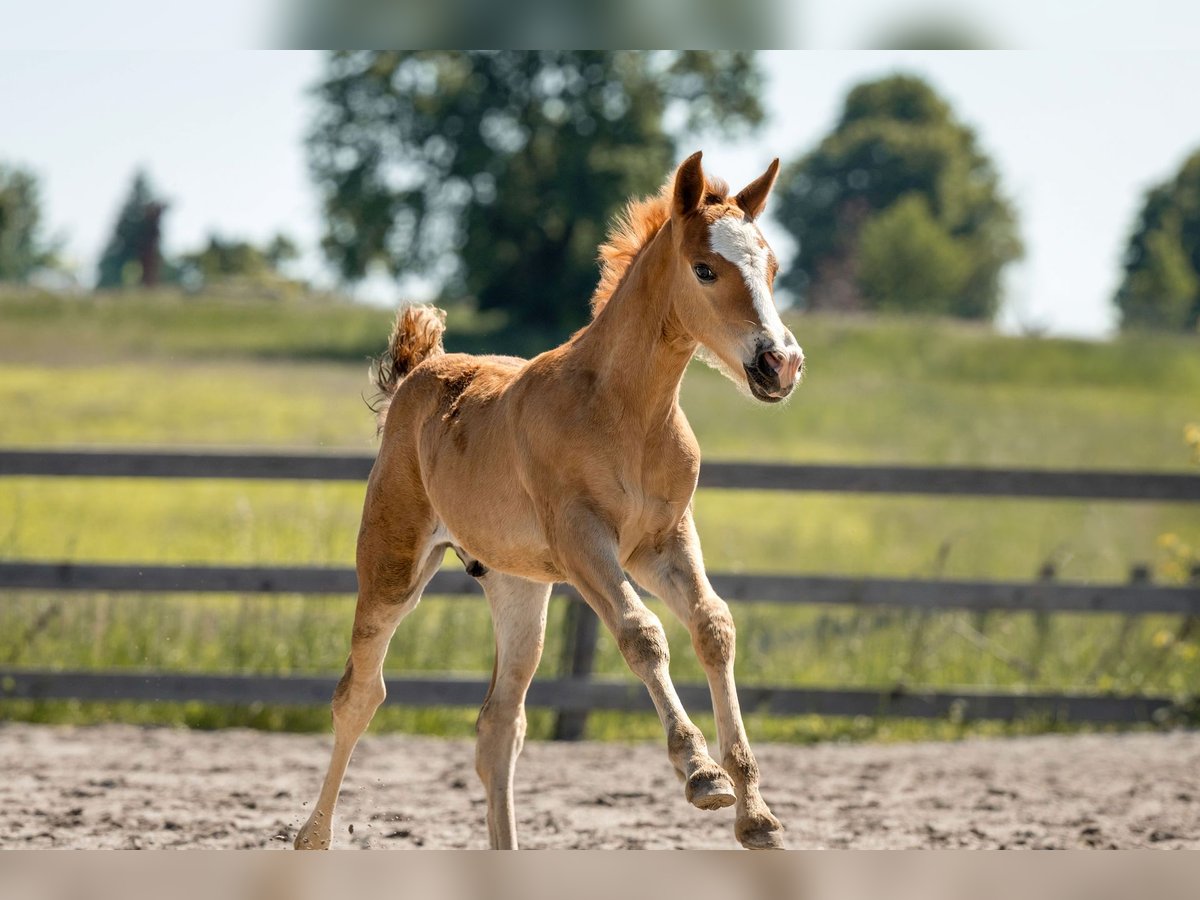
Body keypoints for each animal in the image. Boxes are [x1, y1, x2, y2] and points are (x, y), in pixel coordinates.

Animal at [296, 150, 806, 854]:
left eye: (773, 268)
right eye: (705, 268)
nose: (779, 363)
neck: (625, 413)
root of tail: (419, 372)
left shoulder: (664, 541)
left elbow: (714, 626)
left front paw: (756, 813)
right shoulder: (583, 541)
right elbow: (642, 632)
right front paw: (701, 774)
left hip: (518, 586)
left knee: (499, 725)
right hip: (392, 566)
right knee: (359, 694)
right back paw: (312, 836)